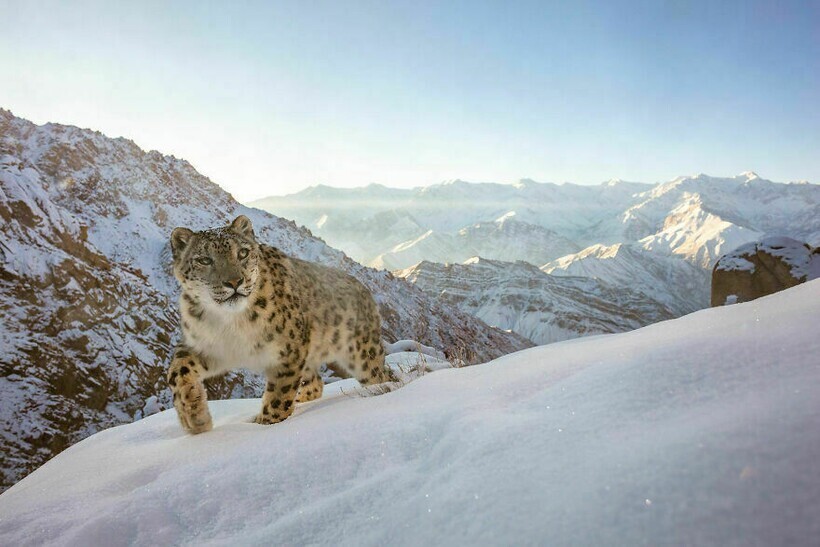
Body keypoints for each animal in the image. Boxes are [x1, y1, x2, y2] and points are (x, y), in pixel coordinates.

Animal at [167, 216, 394, 434]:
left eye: (242, 252)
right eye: (204, 260)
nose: (234, 282)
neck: (232, 323)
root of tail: (364, 290)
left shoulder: (289, 352)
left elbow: (279, 395)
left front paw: (266, 424)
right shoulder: (204, 346)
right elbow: (177, 371)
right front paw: (195, 418)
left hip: (362, 355)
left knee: (381, 375)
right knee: (316, 383)